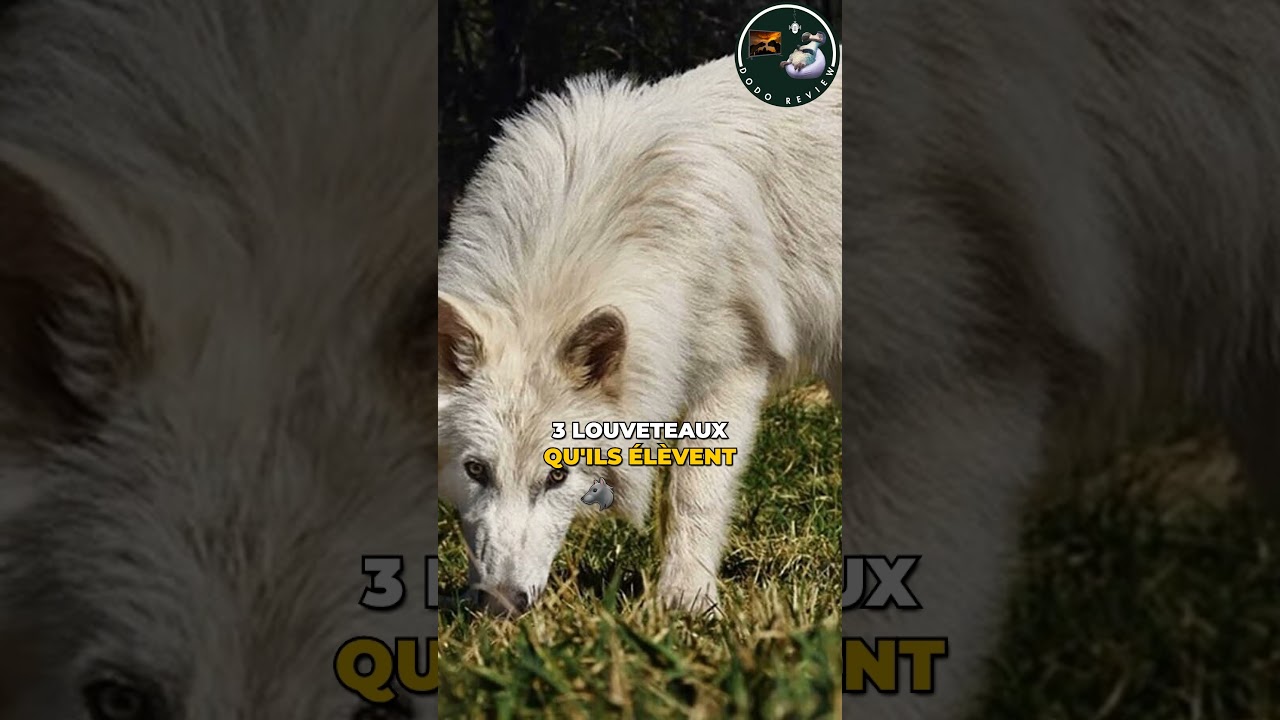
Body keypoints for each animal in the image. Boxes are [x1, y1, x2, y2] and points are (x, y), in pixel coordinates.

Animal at [437, 55, 841, 614]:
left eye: (557, 476)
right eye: (476, 470)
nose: (500, 603)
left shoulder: (734, 370)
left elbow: (693, 494)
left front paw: (687, 602)